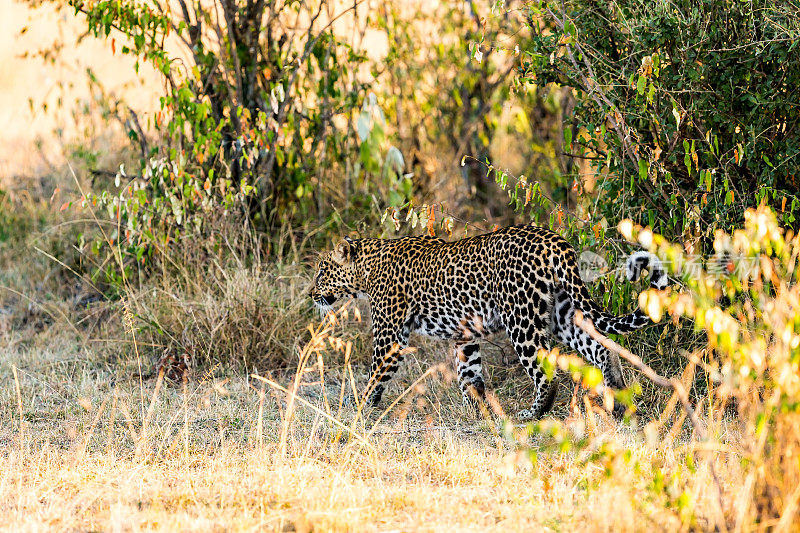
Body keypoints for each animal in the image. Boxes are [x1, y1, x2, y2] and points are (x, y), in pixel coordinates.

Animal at [310, 222, 664, 418]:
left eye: (321, 271)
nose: (312, 293)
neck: (366, 269)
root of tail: (555, 241)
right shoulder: (464, 335)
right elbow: (470, 375)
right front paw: (479, 410)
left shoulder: (390, 334)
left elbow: (375, 374)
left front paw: (358, 406)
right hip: (563, 313)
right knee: (601, 347)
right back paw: (619, 400)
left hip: (522, 318)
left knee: (546, 372)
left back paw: (532, 414)